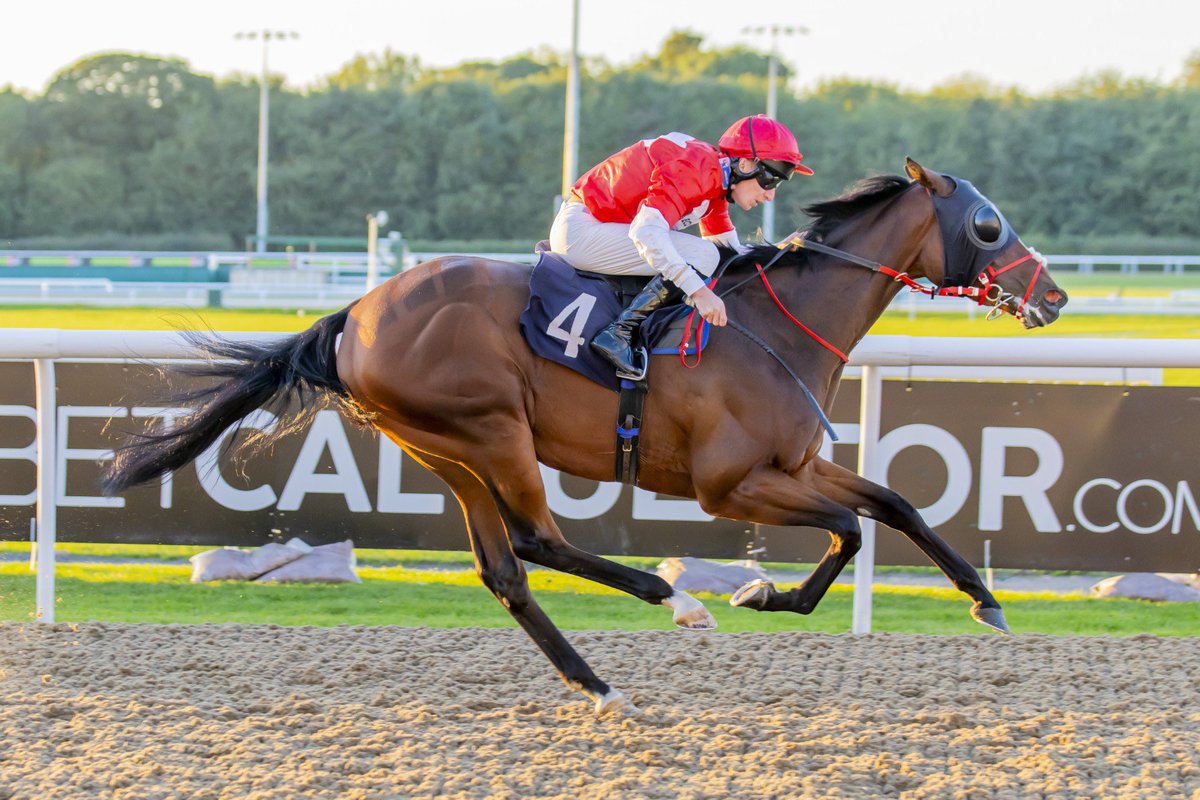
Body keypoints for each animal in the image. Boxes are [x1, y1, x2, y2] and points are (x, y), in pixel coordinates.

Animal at [103, 159, 1067, 716]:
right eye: (988, 223)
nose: (1054, 296)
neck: (774, 326)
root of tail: (355, 315)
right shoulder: (730, 483)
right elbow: (850, 529)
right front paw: (756, 595)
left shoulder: (796, 462)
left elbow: (893, 504)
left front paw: (984, 599)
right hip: (492, 430)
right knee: (538, 538)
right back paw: (673, 600)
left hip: (442, 448)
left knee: (505, 571)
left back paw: (598, 683)